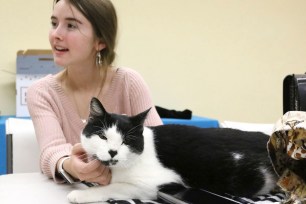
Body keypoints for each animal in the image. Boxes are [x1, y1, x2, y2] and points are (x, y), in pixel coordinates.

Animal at [67, 98, 278, 203]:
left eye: (126, 141)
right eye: (103, 136)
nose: (112, 152)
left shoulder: (155, 184)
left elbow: (115, 187)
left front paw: (81, 194)